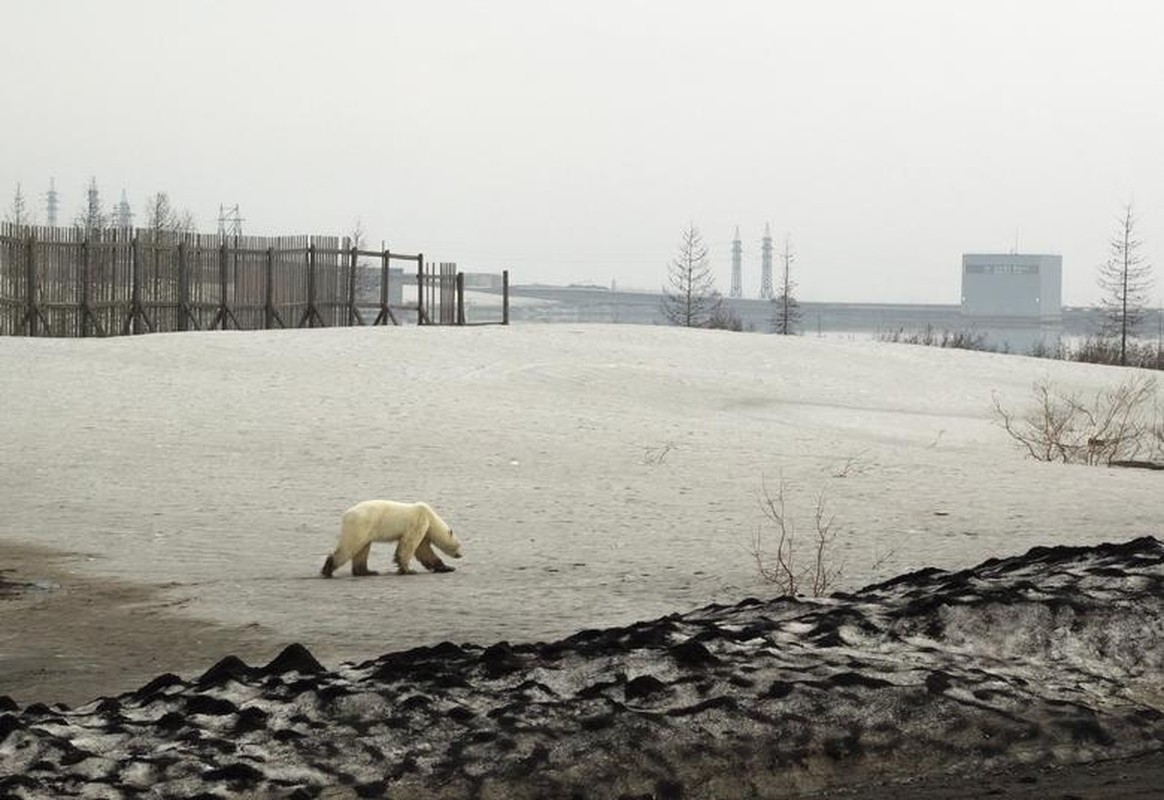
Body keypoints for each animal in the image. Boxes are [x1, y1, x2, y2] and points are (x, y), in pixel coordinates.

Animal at [323, 498, 463, 579]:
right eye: (459, 545)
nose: (460, 555)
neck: (430, 516)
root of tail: (346, 514)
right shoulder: (418, 522)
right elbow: (409, 545)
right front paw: (409, 570)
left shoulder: (423, 530)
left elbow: (424, 551)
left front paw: (447, 567)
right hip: (361, 525)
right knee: (350, 546)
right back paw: (327, 570)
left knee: (362, 549)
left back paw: (367, 571)